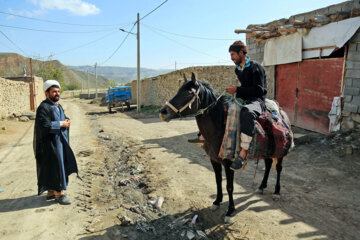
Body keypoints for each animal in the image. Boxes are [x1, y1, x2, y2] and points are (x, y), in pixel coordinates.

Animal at [159, 73, 292, 223]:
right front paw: (217, 201)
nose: (163, 111)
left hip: (280, 153)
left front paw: (230, 211)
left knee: (278, 168)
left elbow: (229, 186)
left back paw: (276, 192)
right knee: (268, 164)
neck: (219, 127)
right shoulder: (214, 159)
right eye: (178, 90)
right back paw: (261, 187)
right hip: (267, 151)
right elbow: (218, 181)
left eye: (189, 93)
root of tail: (282, 113)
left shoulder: (229, 163)